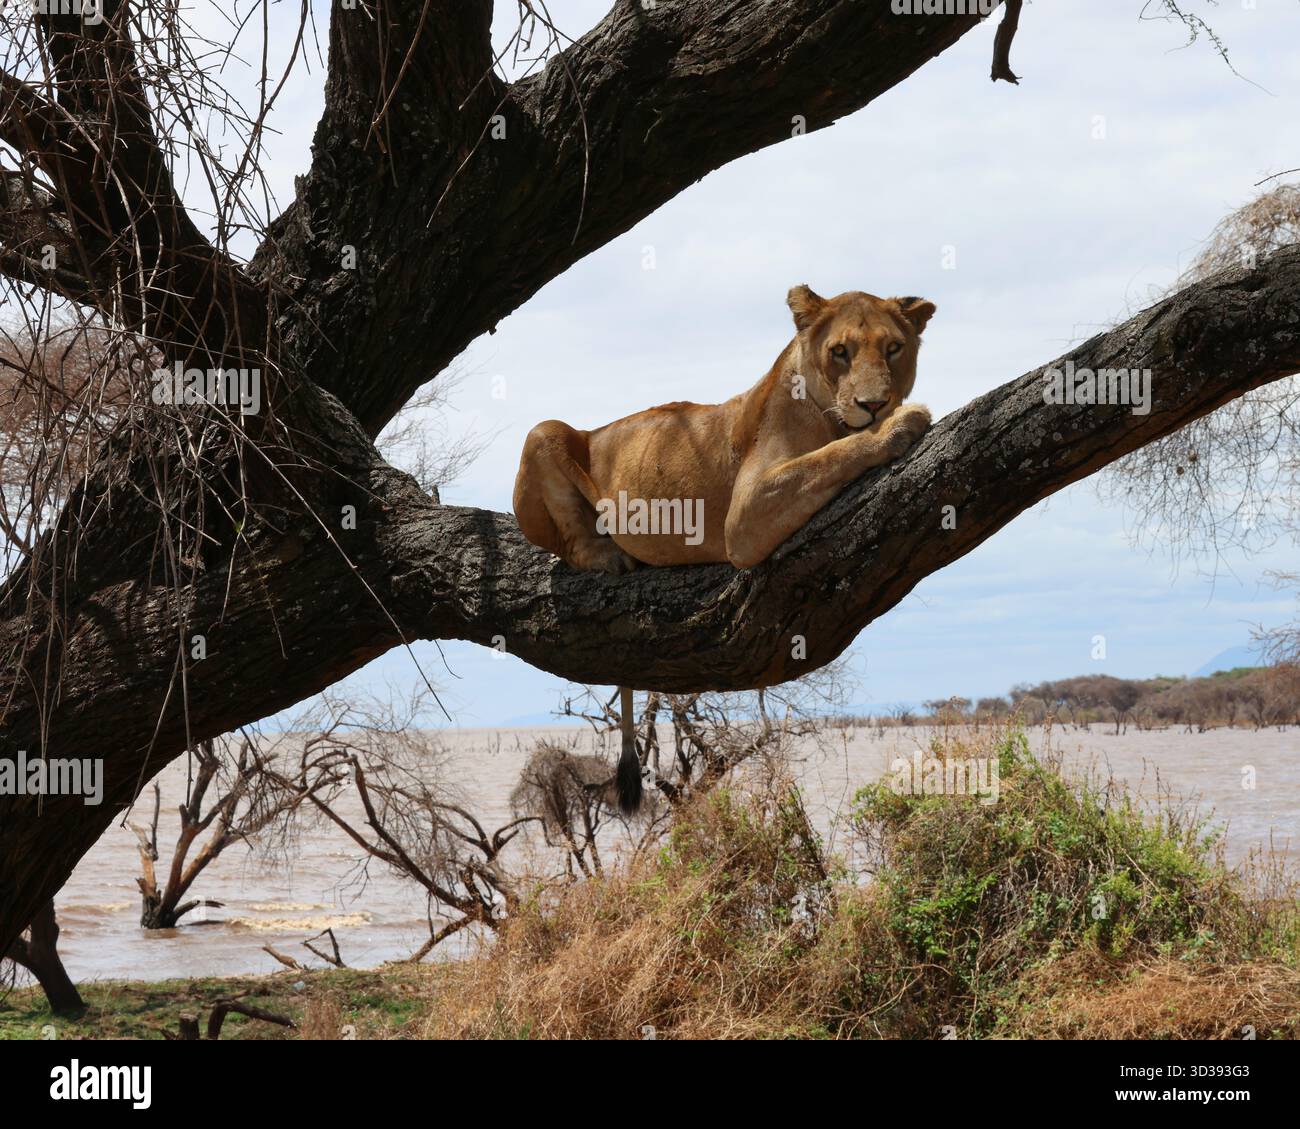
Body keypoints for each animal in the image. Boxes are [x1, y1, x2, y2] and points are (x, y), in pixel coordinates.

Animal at [512, 285, 935, 813]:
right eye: (840, 351)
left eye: (894, 348)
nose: (876, 405)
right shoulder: (746, 514)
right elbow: (833, 455)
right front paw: (901, 423)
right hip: (546, 430)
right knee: (566, 541)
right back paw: (607, 554)